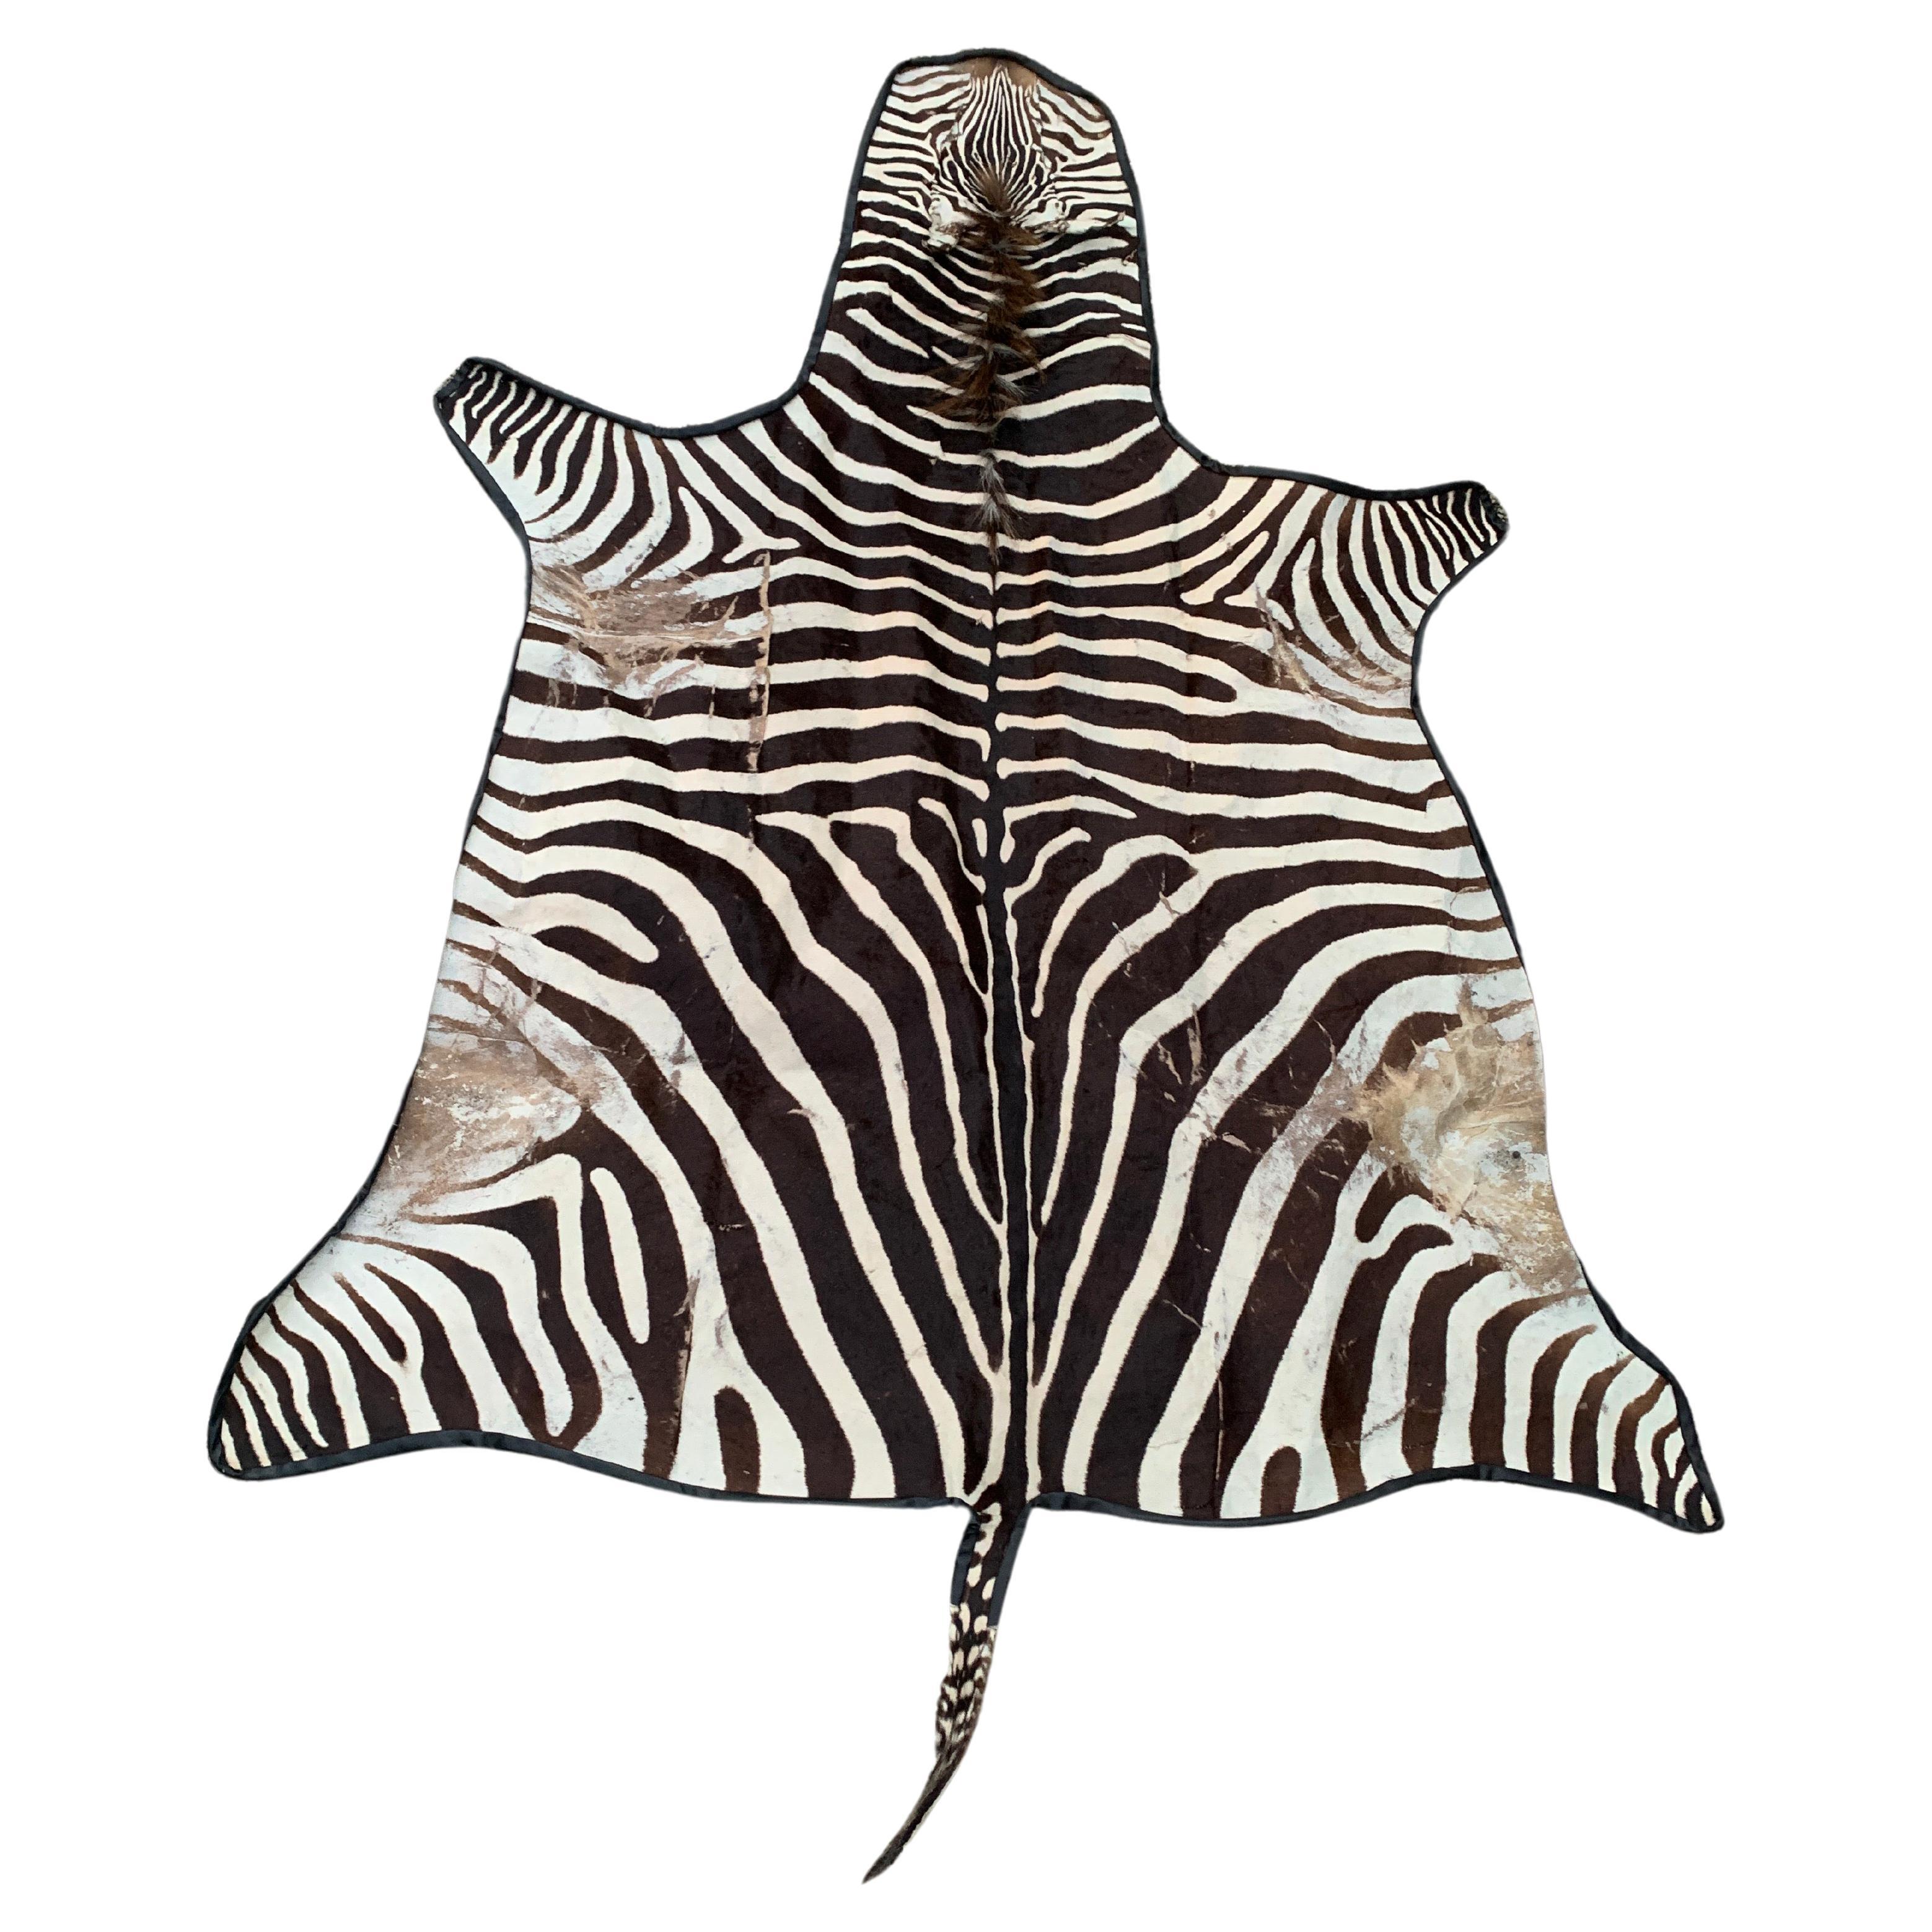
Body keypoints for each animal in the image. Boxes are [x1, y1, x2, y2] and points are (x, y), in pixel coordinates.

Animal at [210, 49, 1722, 1876]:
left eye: (1050, 135)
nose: (995, 65)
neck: (993, 406)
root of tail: (1004, 1439)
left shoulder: (1303, 547)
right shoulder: (664, 487)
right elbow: (519, 409)